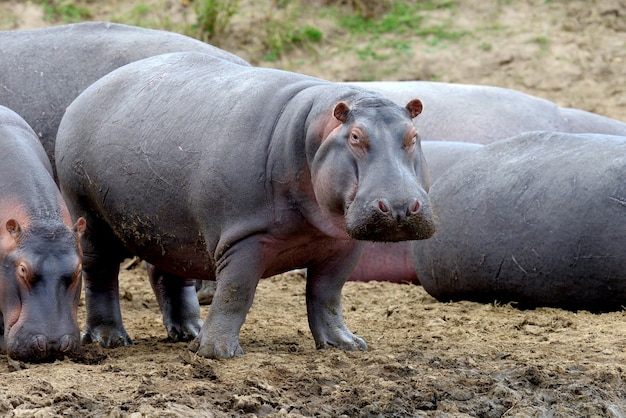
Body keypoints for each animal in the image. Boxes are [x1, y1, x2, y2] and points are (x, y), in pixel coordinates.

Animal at [54, 51, 434, 360]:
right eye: (355, 137)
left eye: (413, 136)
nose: (400, 207)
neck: (311, 135)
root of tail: (85, 93)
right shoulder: (245, 237)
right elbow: (236, 292)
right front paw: (217, 352)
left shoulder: (342, 243)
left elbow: (327, 294)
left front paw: (346, 345)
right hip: (90, 216)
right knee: (101, 273)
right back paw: (110, 339)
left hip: (172, 228)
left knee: (167, 273)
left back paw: (187, 333)